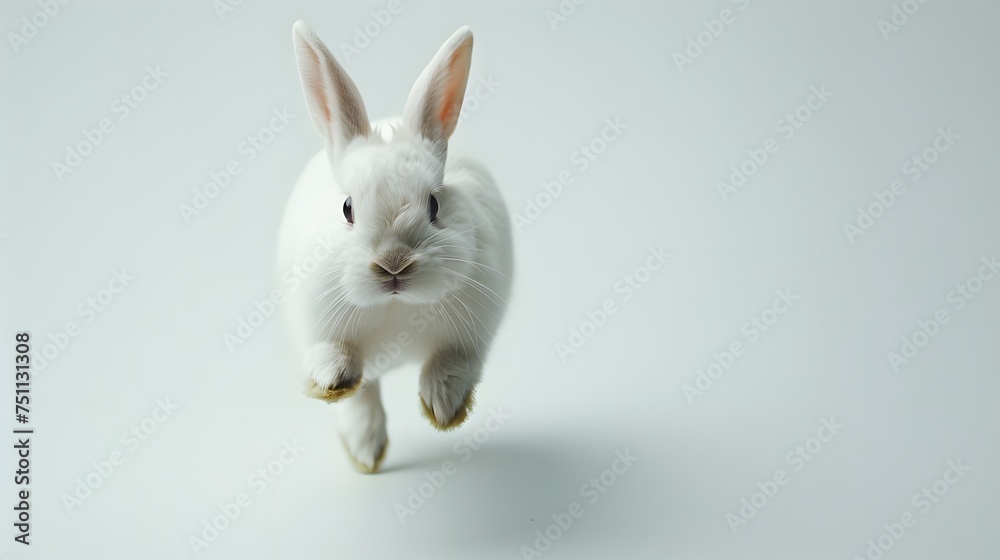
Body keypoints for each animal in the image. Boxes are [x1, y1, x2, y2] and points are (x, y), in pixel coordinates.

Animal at [278, 21, 513, 473]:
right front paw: (334, 384)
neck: (395, 308)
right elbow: (339, 367)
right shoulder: (320, 327)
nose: (393, 265)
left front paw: (443, 407)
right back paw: (366, 450)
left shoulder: (470, 336)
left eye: (435, 204)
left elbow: (451, 365)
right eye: (347, 208)